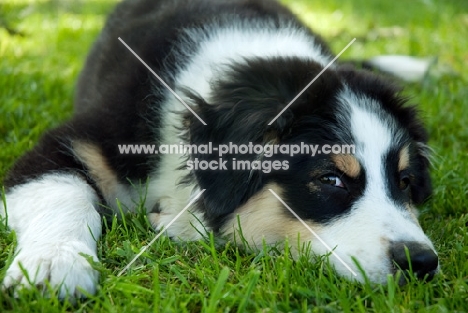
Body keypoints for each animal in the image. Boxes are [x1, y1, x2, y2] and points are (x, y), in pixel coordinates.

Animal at [0, 0, 438, 298]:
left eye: (404, 181)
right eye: (330, 179)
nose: (421, 262)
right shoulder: (84, 138)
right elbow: (61, 192)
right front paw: (54, 265)